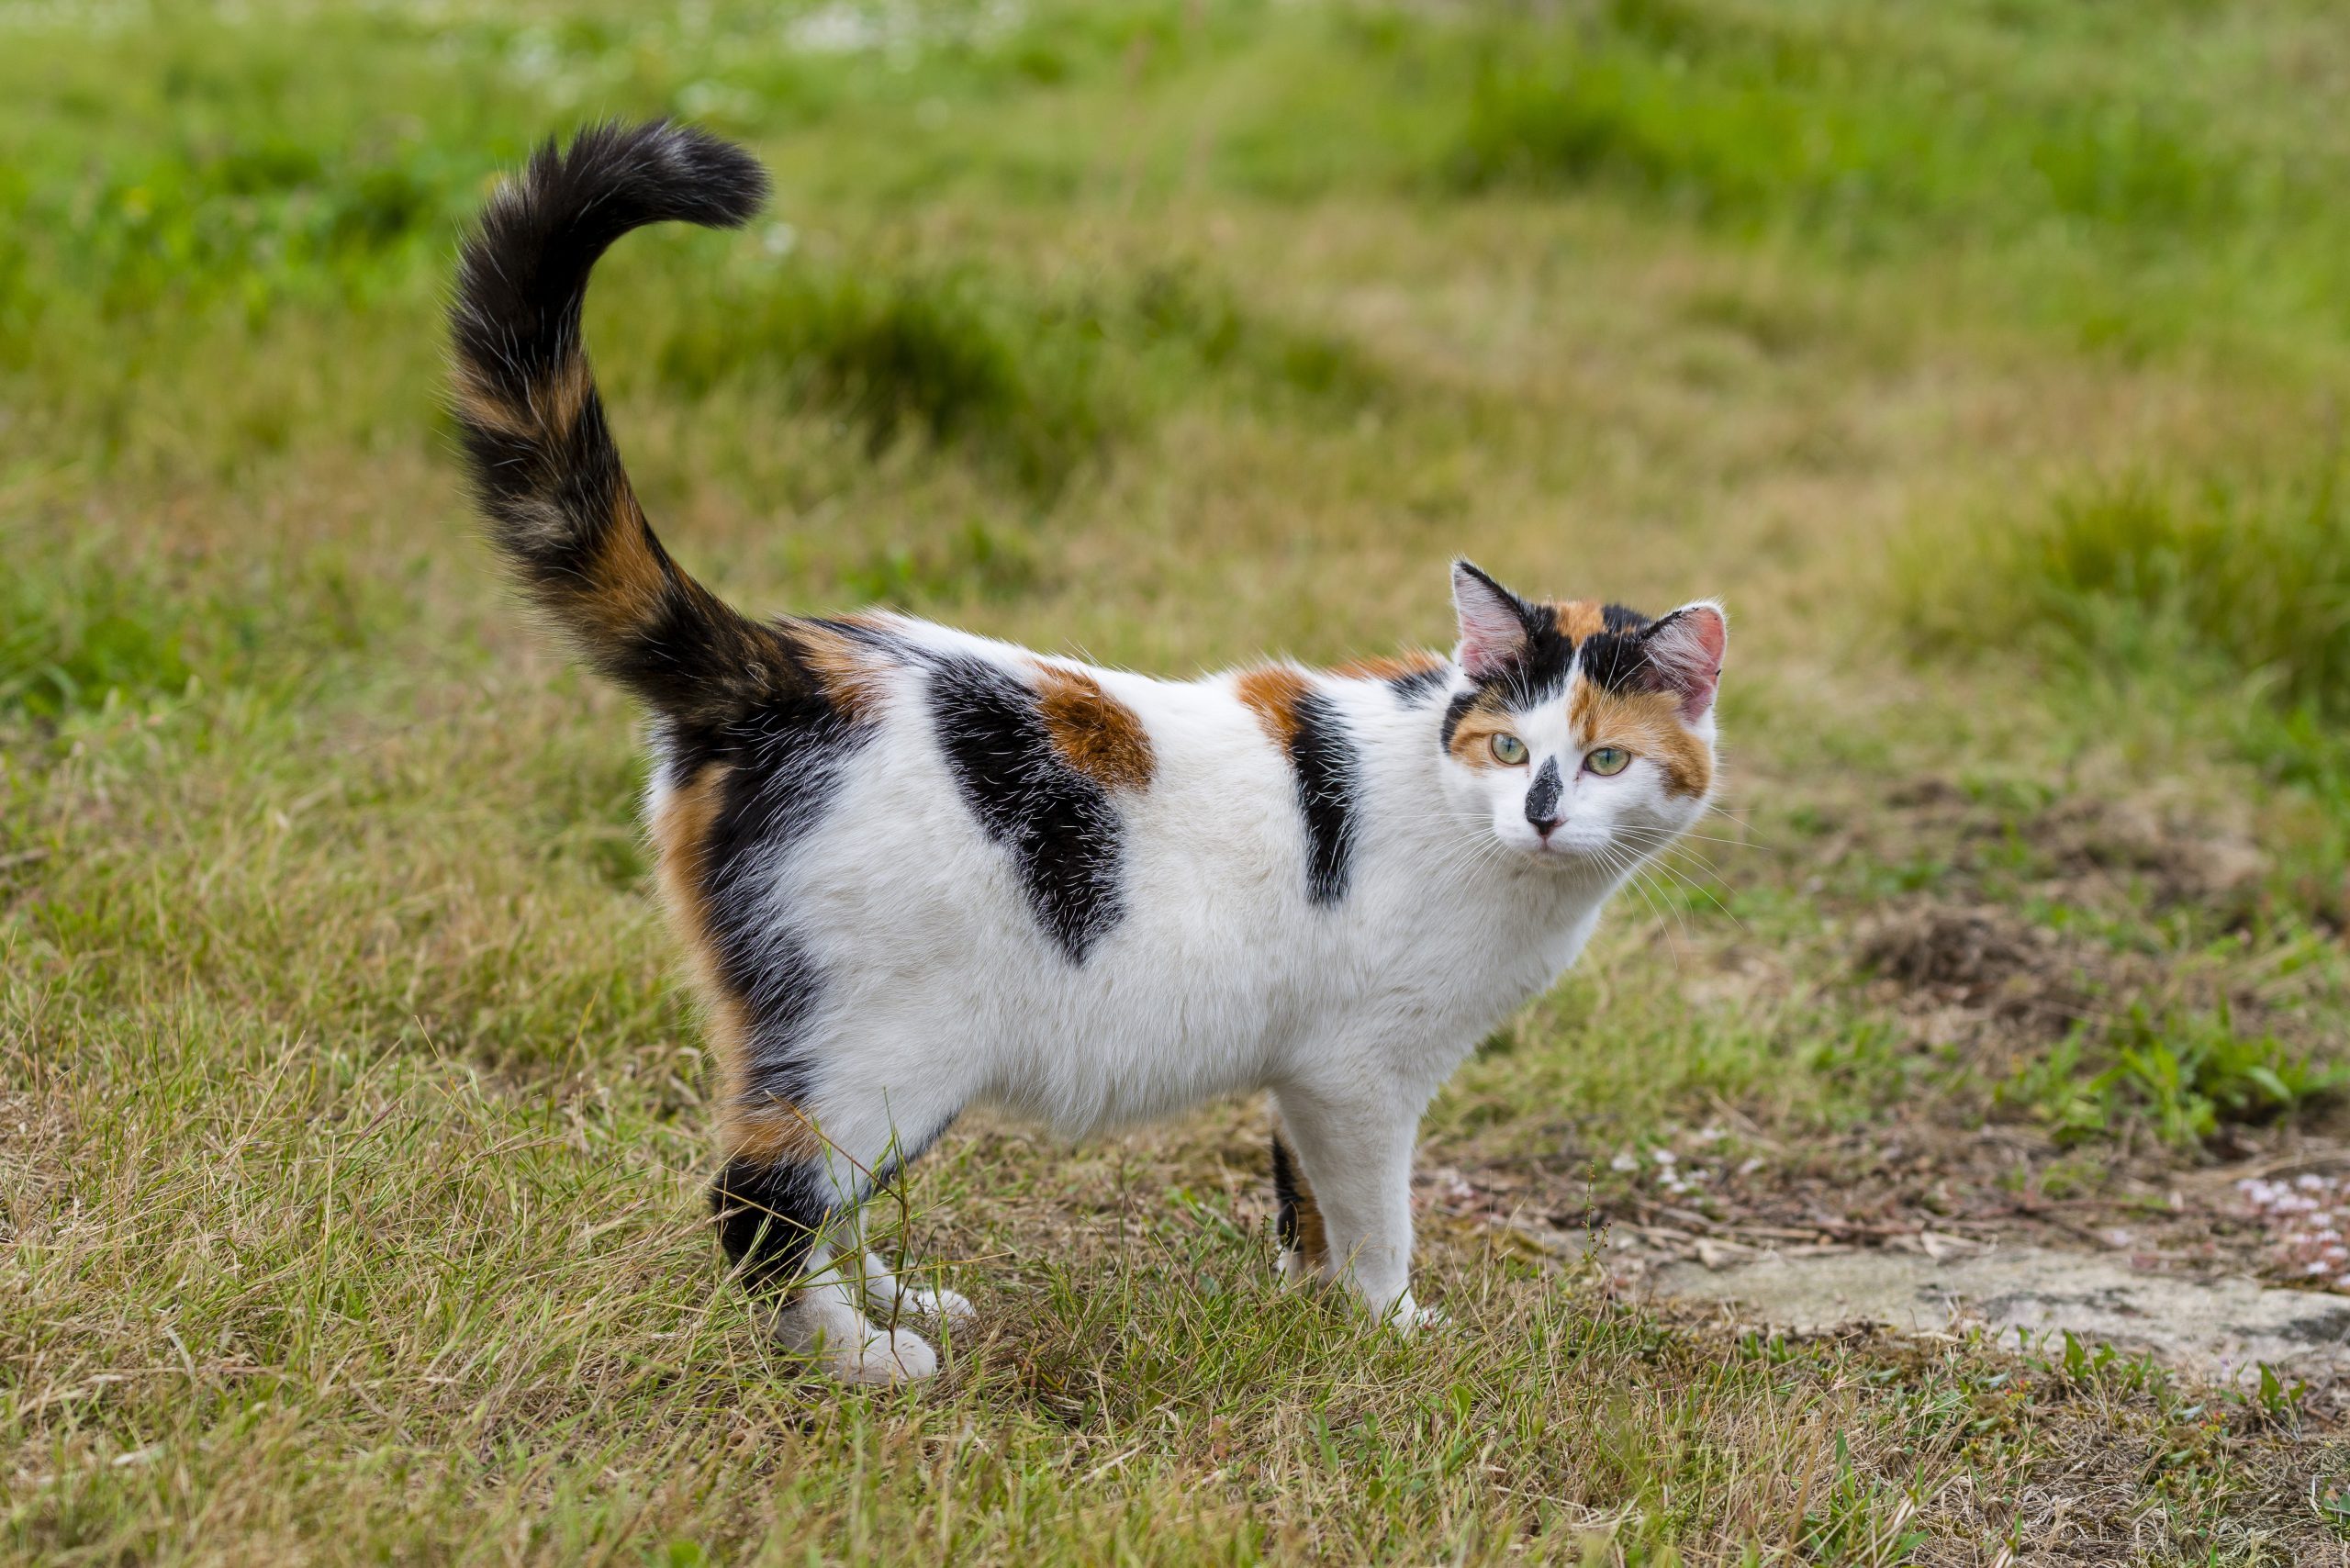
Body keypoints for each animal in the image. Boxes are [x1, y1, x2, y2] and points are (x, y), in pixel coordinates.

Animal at [448, 125, 1729, 1382]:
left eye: (1605, 762)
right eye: (1510, 748)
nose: (1544, 812)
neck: (1464, 816)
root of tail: (788, 663)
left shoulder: (1306, 1070)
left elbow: (1302, 1200)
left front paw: (1310, 1308)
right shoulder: (1362, 1069)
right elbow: (1374, 1215)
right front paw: (1393, 1326)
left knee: (821, 1196)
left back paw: (894, 1297)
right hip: (885, 1037)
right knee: (760, 1194)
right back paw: (857, 1352)